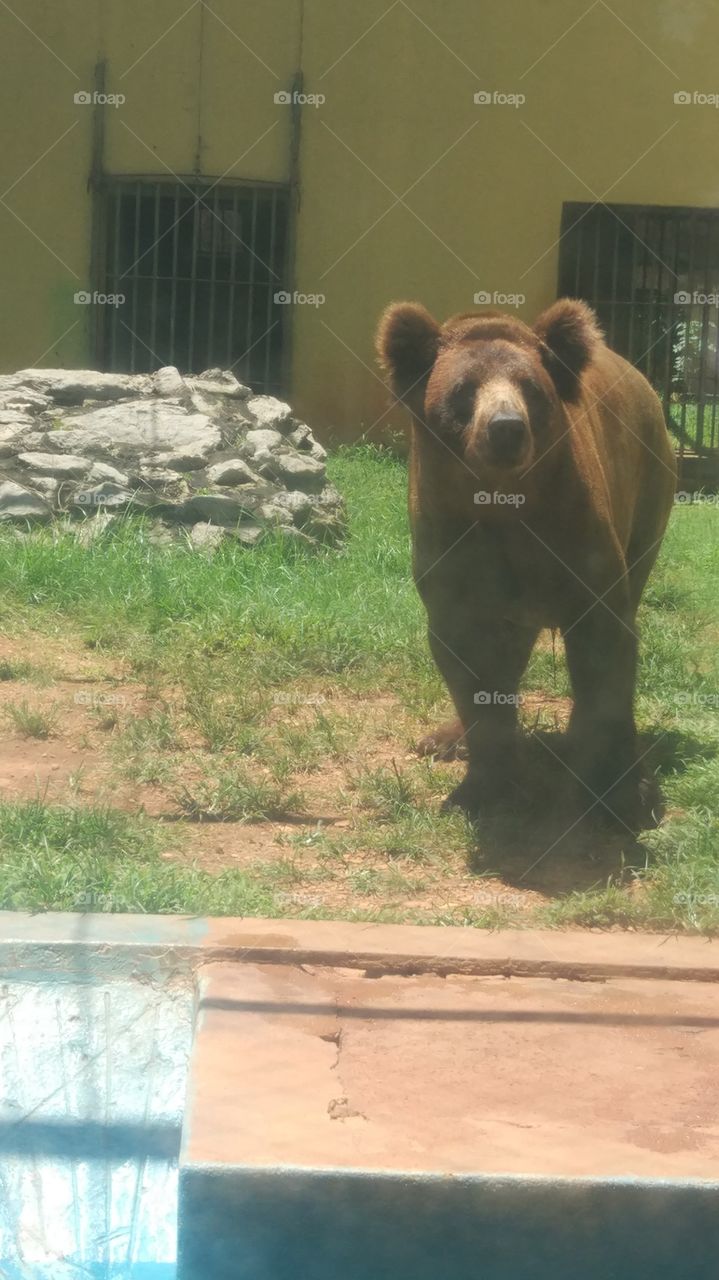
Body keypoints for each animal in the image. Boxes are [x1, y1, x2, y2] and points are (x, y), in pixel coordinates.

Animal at [375, 298, 677, 830]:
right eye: (463, 389)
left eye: (531, 387)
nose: (506, 428)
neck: (505, 506)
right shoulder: (452, 543)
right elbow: (468, 659)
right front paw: (480, 785)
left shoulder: (576, 539)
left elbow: (606, 647)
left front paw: (624, 791)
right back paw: (444, 738)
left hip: (648, 493)